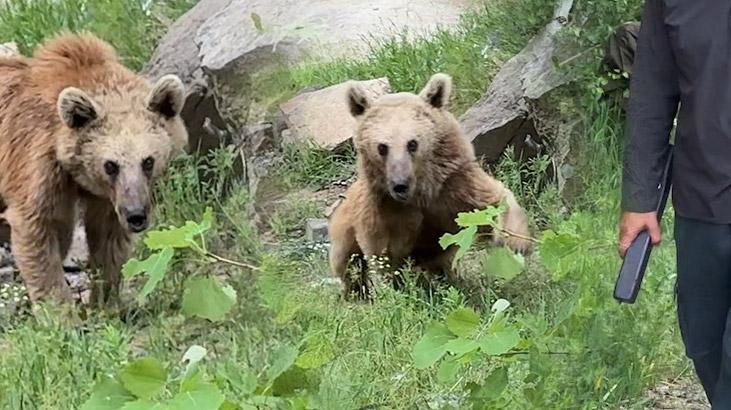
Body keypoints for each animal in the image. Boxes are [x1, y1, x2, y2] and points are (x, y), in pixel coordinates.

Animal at [0, 33, 189, 304]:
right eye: (111, 165)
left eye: (148, 161)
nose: (136, 216)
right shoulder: (37, 165)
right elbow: (39, 232)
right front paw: (60, 309)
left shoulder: (108, 198)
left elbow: (108, 241)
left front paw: (104, 300)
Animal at [332, 73, 532, 298]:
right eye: (382, 147)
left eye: (412, 143)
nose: (400, 185)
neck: (421, 192)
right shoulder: (383, 210)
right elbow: (385, 255)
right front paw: (400, 290)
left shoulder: (455, 185)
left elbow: (493, 202)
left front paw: (516, 242)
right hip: (344, 228)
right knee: (347, 263)